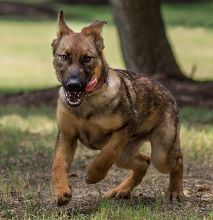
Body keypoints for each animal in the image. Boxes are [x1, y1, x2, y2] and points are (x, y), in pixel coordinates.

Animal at [51, 10, 183, 206]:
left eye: (87, 58)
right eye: (64, 57)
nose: (73, 86)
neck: (87, 103)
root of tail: (165, 89)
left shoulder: (126, 127)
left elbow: (108, 152)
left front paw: (93, 174)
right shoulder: (67, 135)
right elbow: (58, 163)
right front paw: (61, 191)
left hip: (162, 153)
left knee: (177, 160)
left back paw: (175, 191)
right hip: (126, 155)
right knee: (144, 162)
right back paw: (121, 190)